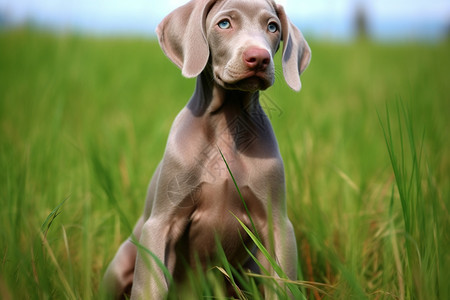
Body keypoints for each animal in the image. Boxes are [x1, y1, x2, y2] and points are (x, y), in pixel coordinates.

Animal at [103, 0, 312, 296]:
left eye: (272, 27)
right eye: (224, 23)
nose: (259, 58)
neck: (227, 123)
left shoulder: (278, 226)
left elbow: (282, 284)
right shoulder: (160, 224)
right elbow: (150, 287)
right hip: (123, 261)